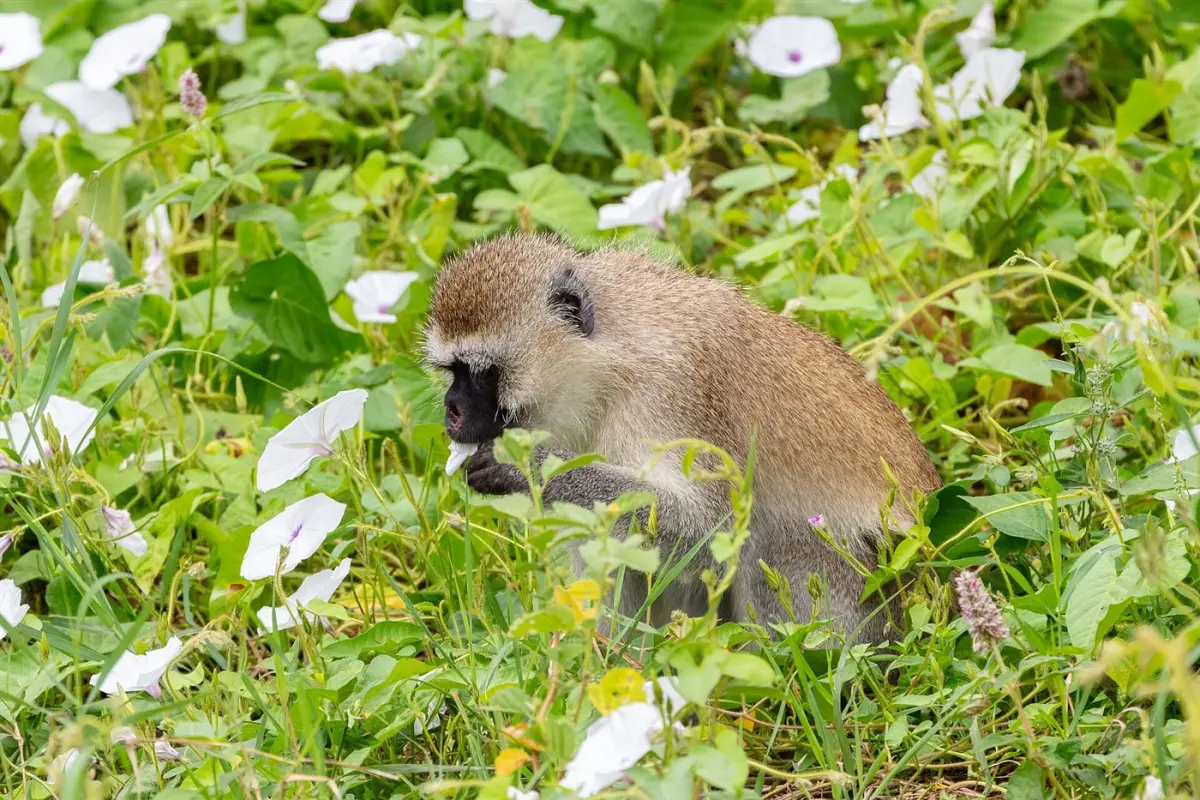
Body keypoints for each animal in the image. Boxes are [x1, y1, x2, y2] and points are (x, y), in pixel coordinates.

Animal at [423, 233, 941, 642]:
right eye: (453, 371)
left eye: (483, 372)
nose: (452, 411)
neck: (609, 363)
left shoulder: (670, 390)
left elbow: (710, 528)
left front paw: (524, 466)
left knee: (769, 538)